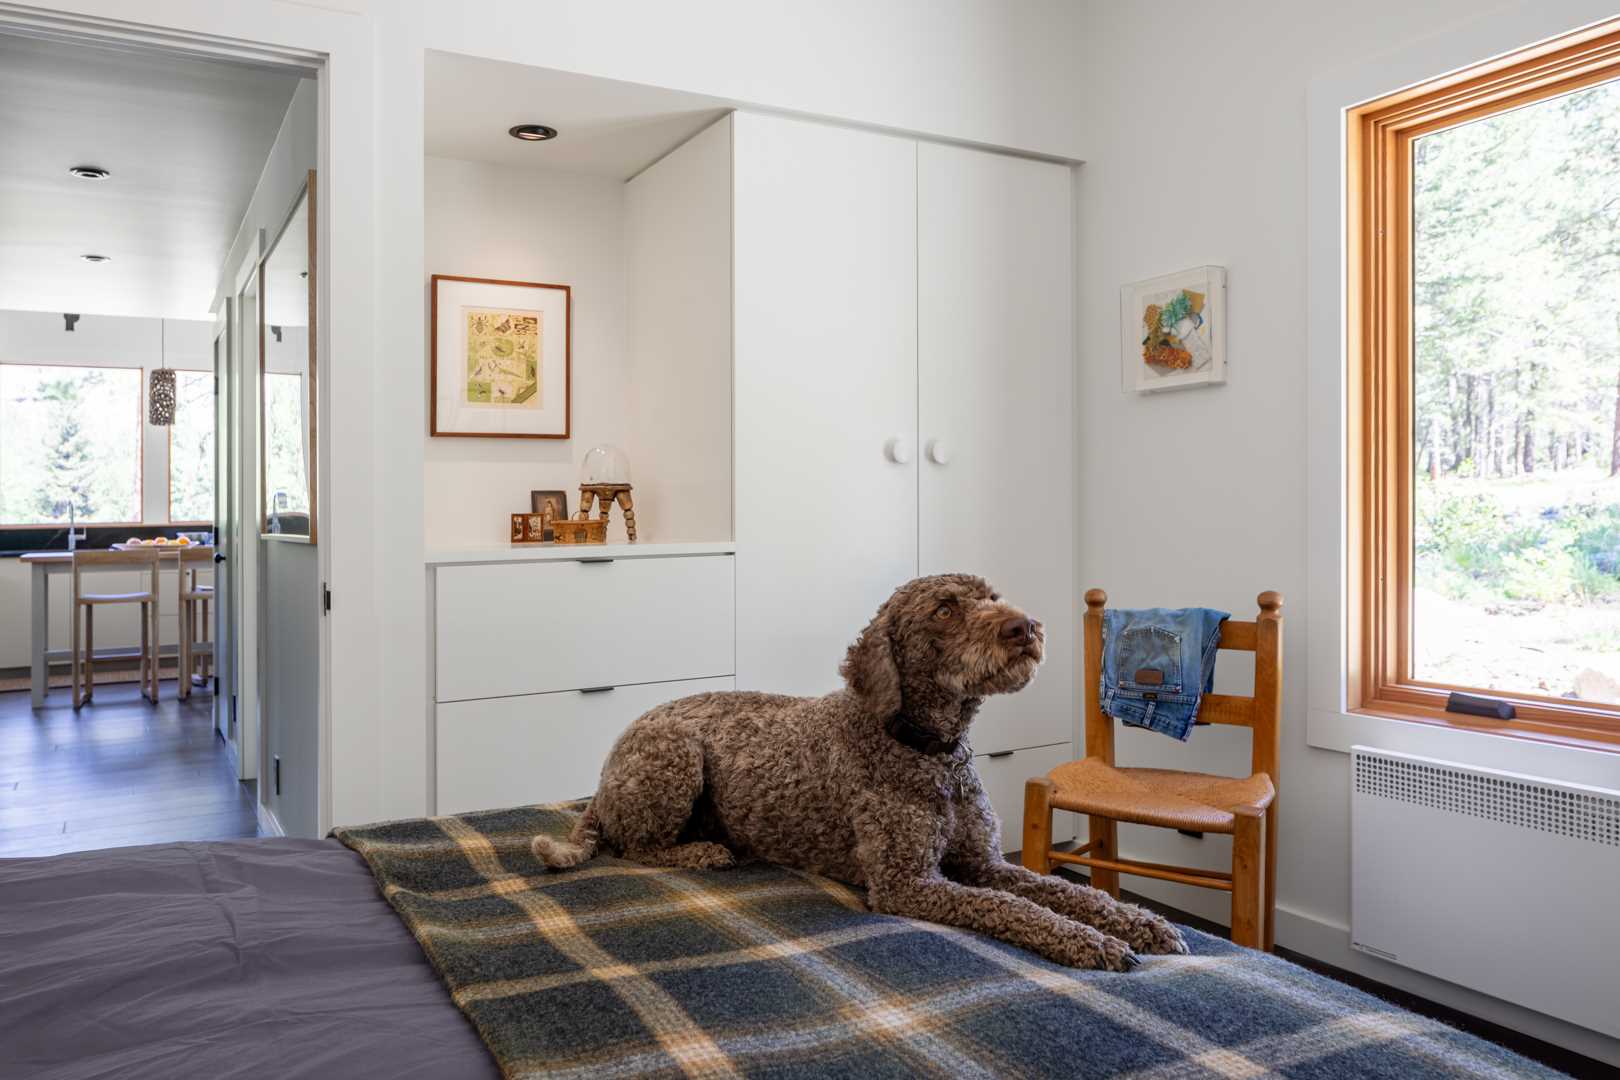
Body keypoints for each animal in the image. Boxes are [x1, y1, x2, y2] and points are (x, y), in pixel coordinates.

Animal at [537, 573, 1185, 971]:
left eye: (992, 596)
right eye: (945, 609)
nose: (1023, 626)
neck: (929, 751)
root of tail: (607, 773)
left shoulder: (985, 864)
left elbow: (1063, 890)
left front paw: (1137, 921)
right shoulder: (907, 883)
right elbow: (1015, 910)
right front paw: (1090, 942)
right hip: (675, 756)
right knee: (634, 846)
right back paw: (702, 851)